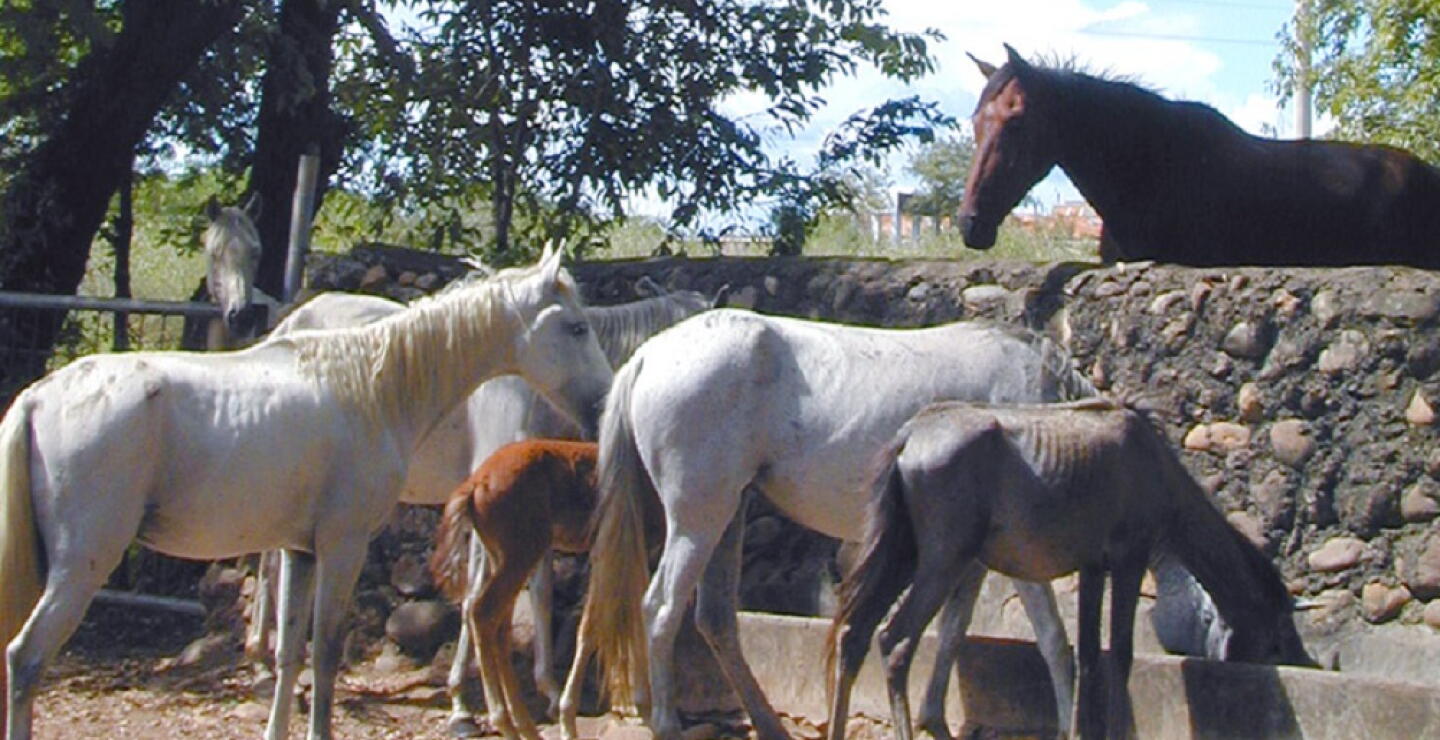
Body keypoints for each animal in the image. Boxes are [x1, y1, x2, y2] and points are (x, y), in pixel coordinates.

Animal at [0, 246, 614, 740]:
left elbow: (293, 650)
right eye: (577, 328)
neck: (374, 388)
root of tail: (38, 397)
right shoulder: (343, 547)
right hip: (80, 568)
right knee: (25, 660)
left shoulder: (301, 552)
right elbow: (326, 653)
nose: (604, 407)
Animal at [580, 308, 1108, 740]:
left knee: (714, 619)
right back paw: (667, 724)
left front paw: (933, 719)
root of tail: (647, 356)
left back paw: (767, 726)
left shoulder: (967, 558)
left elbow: (953, 631)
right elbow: (1053, 640)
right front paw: (1069, 725)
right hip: (699, 522)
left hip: (726, 518)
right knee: (661, 610)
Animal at [825, 398, 1317, 740]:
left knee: (854, 637)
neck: (1158, 471)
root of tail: (910, 436)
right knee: (895, 643)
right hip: (943, 560)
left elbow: (1087, 653)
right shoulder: (1129, 557)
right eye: (1276, 637)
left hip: (903, 555)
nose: (1301, 662)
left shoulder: (1092, 567)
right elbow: (1119, 654)